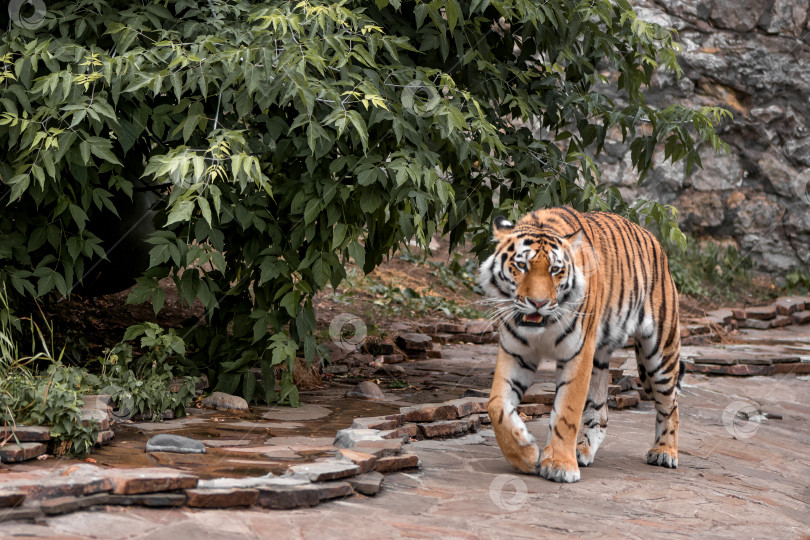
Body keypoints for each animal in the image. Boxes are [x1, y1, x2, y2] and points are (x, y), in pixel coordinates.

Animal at [480, 206, 680, 480]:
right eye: (521, 265)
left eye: (555, 270)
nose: (538, 303)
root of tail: (654, 239)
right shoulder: (516, 351)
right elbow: (496, 406)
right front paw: (526, 454)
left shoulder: (577, 352)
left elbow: (567, 410)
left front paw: (560, 466)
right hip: (599, 357)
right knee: (600, 410)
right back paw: (582, 449)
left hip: (660, 352)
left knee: (670, 404)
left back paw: (665, 452)